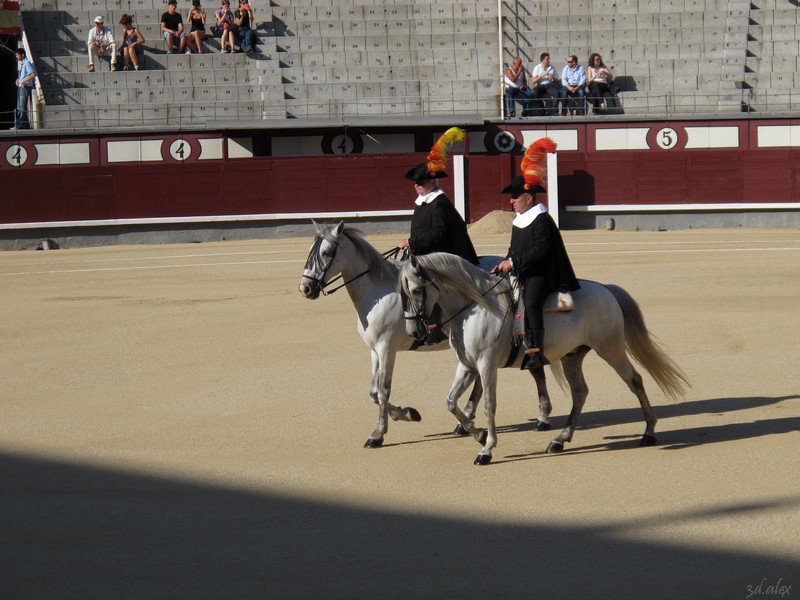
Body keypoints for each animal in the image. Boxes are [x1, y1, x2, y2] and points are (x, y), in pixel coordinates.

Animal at [296, 223, 500, 448]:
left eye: (326, 253)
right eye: (311, 251)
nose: (305, 288)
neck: (378, 293)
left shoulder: (387, 348)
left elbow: (383, 390)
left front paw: (378, 434)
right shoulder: (374, 350)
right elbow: (374, 391)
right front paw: (407, 413)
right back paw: (464, 423)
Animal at [400, 251, 688, 466]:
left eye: (416, 290)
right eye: (402, 293)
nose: (414, 332)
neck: (475, 308)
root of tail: (606, 289)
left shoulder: (486, 365)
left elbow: (489, 405)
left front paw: (487, 449)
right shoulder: (467, 366)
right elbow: (450, 402)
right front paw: (479, 435)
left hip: (612, 350)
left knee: (635, 381)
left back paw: (649, 432)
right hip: (573, 356)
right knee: (580, 392)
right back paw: (560, 439)